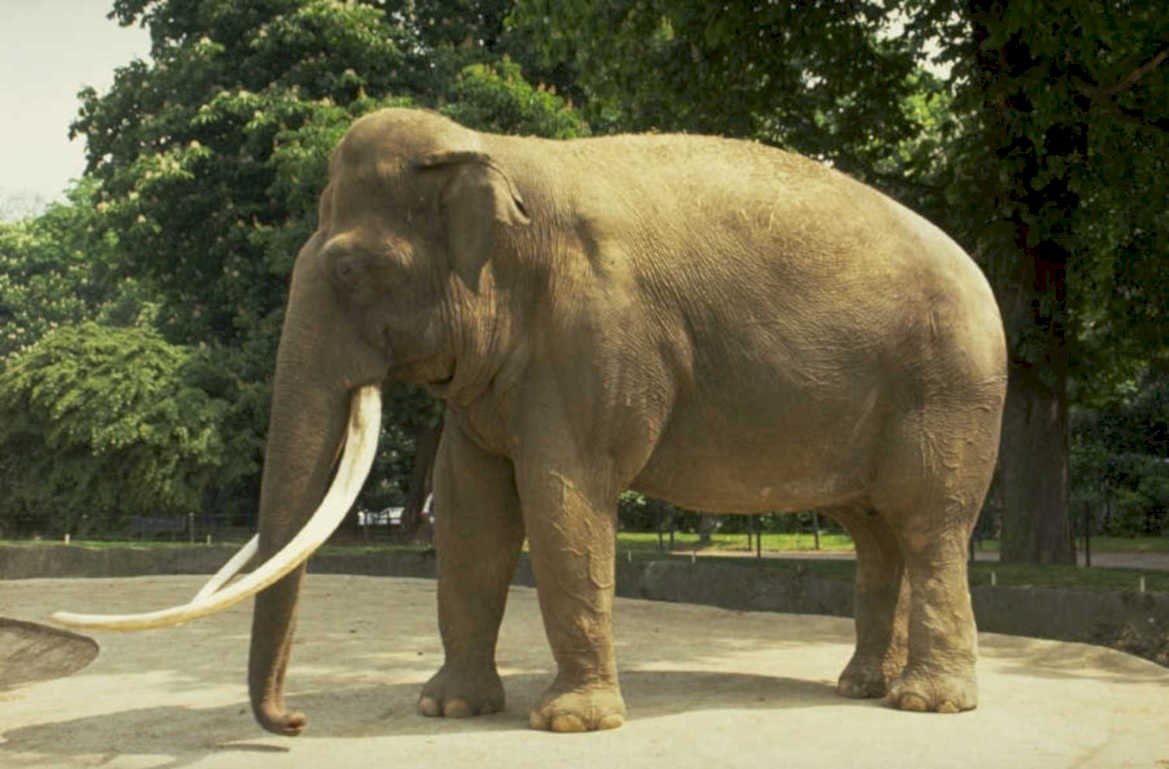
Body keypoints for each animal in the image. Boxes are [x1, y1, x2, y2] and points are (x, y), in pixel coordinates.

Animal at [53, 107, 1007, 735]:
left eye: (353, 271)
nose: (291, 724)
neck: (495, 152)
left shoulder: (595, 333)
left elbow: (561, 501)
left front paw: (571, 722)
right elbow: (471, 512)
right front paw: (445, 705)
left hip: (949, 387)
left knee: (928, 525)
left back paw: (924, 703)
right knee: (875, 532)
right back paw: (858, 687)